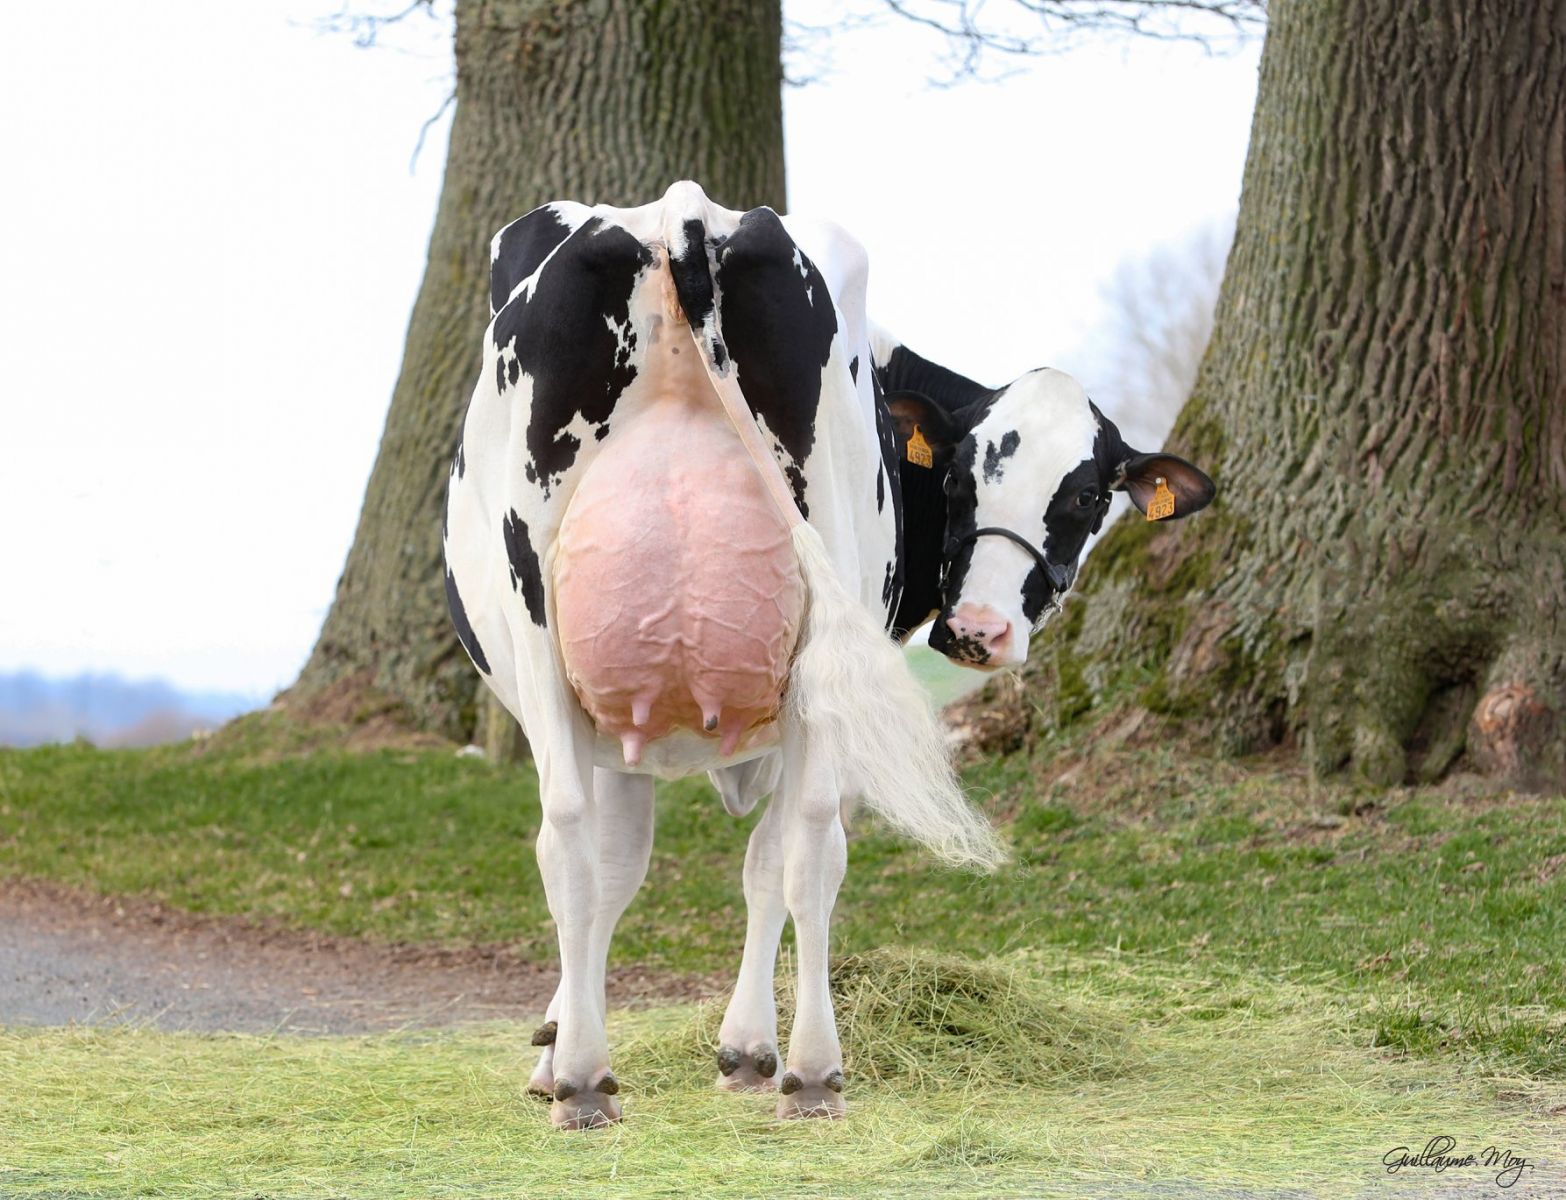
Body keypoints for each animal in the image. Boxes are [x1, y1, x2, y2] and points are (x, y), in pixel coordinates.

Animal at [443, 181, 1214, 1130]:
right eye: (956, 478)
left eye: (1086, 499)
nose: (980, 628)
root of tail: (682, 210)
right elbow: (719, 865)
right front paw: (719, 1047)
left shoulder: (617, 719)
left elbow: (643, 866)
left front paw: (574, 1041)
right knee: (806, 846)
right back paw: (805, 1070)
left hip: (550, 635)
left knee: (573, 834)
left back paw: (599, 1081)